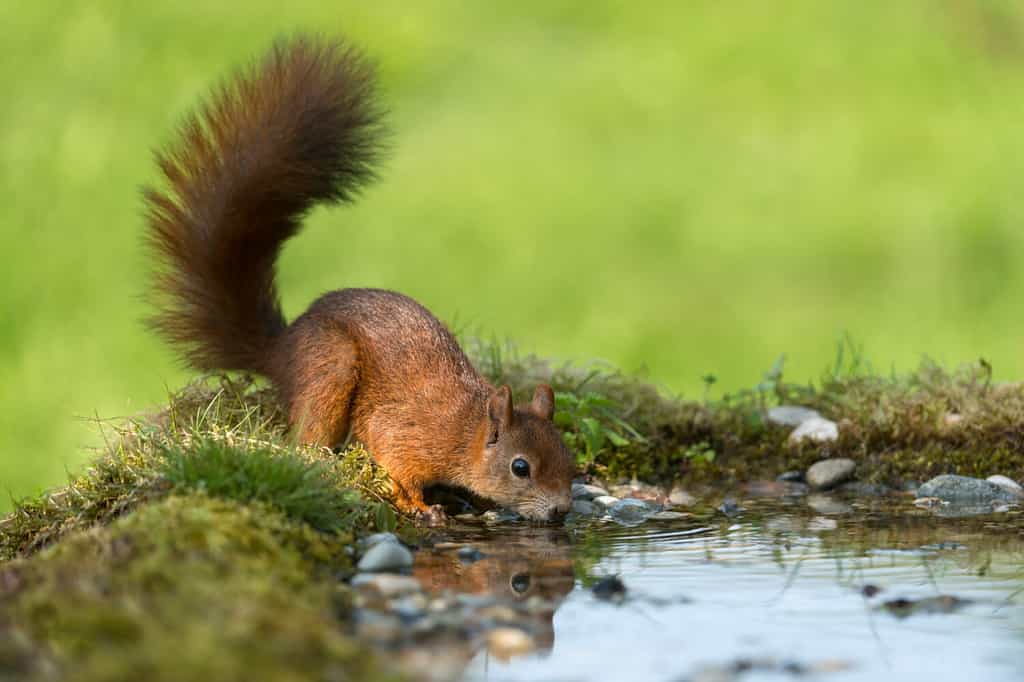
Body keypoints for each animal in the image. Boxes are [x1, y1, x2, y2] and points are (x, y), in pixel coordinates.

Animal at [142, 34, 577, 520]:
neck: (466, 431)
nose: (562, 511)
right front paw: (419, 506)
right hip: (330, 368)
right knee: (307, 440)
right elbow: (393, 460)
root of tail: (280, 350)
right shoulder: (404, 432)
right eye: (521, 467)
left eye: (570, 457)